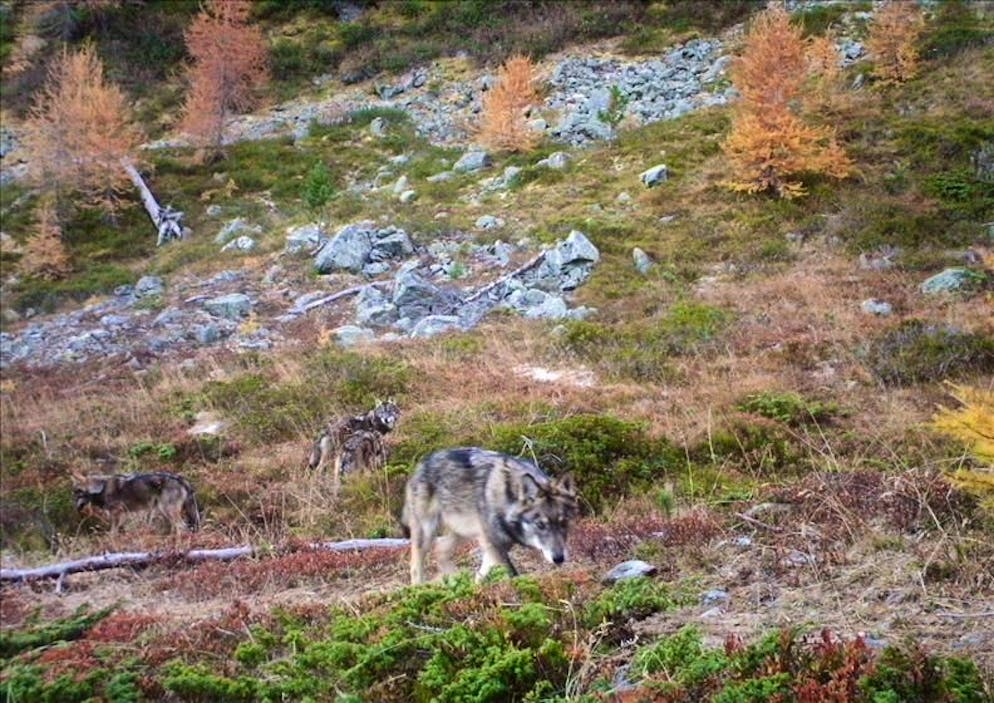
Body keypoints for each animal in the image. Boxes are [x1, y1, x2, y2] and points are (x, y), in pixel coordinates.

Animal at [71, 472, 200, 534]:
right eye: (74, 493)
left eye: (78, 492)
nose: (76, 508)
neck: (102, 487)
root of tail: (181, 479)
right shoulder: (123, 515)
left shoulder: (117, 515)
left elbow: (112, 534)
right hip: (164, 512)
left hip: (167, 511)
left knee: (183, 528)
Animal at [402, 447, 579, 585]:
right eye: (540, 525)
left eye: (564, 523)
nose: (559, 558)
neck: (507, 498)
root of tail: (421, 464)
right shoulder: (493, 543)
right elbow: (512, 574)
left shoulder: (496, 544)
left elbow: (481, 575)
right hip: (427, 533)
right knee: (416, 566)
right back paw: (419, 589)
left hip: (463, 533)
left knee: (440, 550)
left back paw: (453, 578)